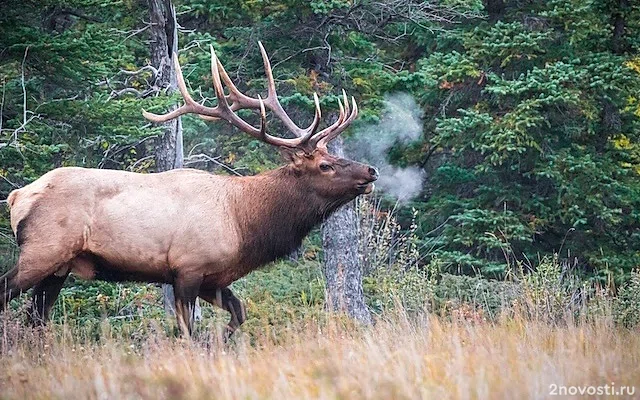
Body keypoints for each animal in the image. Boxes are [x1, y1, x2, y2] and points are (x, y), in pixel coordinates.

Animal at [0, 43, 378, 338]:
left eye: (333, 156)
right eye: (325, 165)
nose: (371, 170)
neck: (245, 223)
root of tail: (17, 197)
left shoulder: (214, 278)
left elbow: (239, 313)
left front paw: (220, 343)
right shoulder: (188, 268)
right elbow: (187, 333)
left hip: (60, 266)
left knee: (37, 318)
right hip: (43, 250)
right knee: (9, 294)